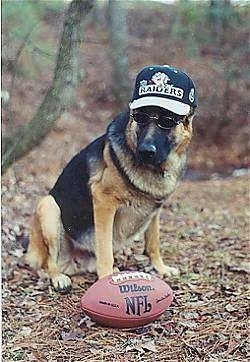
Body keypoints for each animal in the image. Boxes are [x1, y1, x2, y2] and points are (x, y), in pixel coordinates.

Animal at [25, 104, 194, 292]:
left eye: (167, 121)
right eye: (140, 118)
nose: (145, 151)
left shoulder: (155, 210)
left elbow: (153, 244)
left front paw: (161, 268)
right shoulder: (104, 201)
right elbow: (105, 250)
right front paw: (105, 277)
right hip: (49, 207)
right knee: (49, 262)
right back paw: (59, 278)